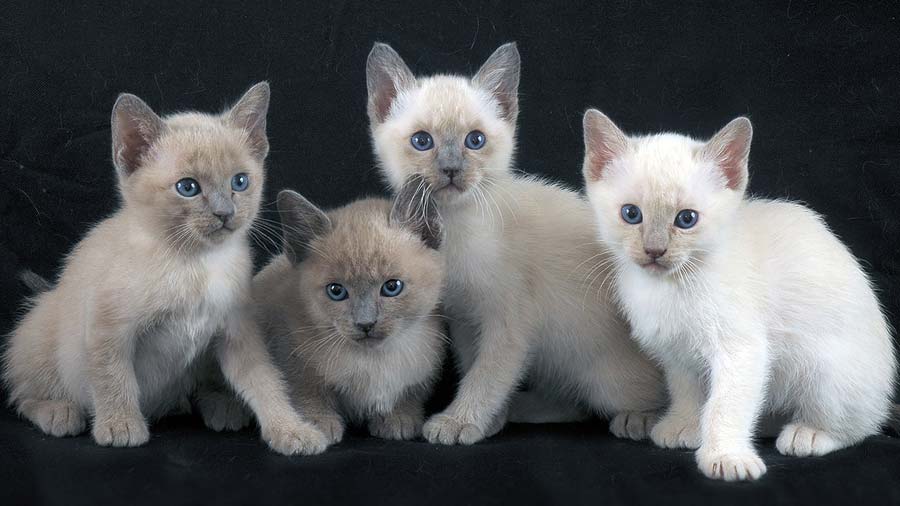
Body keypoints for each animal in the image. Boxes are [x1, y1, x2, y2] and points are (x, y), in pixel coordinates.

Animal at [2, 83, 326, 454]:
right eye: (188, 187)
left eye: (240, 182)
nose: (225, 213)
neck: (196, 264)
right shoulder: (107, 329)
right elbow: (114, 379)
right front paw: (120, 425)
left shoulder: (238, 332)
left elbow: (265, 381)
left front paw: (291, 430)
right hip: (42, 333)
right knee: (23, 393)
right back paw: (59, 412)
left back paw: (219, 405)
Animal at [366, 44, 668, 446]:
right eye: (422, 141)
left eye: (475, 140)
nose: (451, 169)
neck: (455, 229)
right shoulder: (466, 320)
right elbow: (474, 368)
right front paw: (487, 420)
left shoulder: (509, 324)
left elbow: (487, 376)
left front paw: (458, 421)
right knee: (573, 403)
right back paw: (520, 409)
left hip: (606, 376)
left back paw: (641, 418)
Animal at [580, 108, 896, 480]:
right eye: (631, 214)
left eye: (686, 219)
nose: (654, 251)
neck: (671, 286)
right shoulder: (678, 353)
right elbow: (687, 392)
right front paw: (684, 425)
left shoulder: (742, 349)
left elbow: (725, 405)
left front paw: (726, 456)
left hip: (826, 371)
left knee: (862, 424)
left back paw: (811, 433)